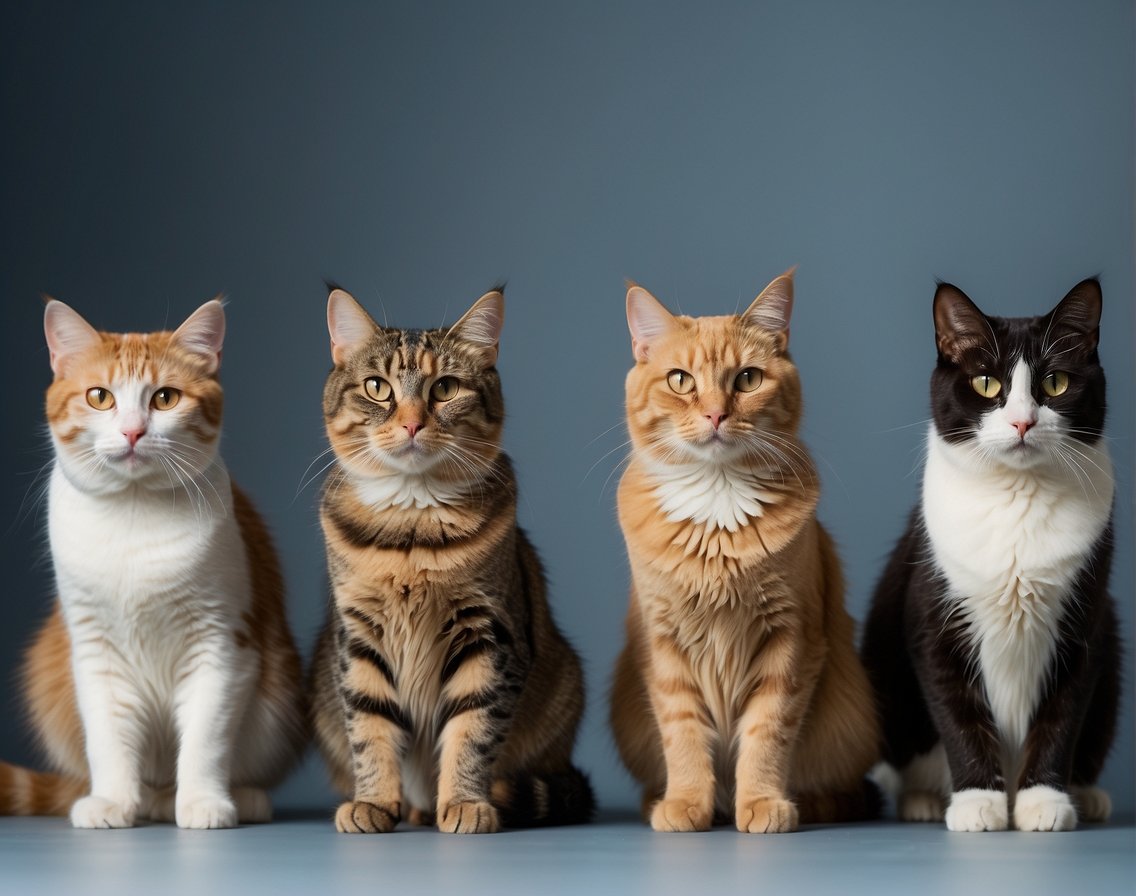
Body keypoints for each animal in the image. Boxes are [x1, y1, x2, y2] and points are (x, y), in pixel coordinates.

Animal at [311, 285, 595, 831]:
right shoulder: (358, 637)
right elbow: (369, 727)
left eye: (444, 388)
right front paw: (374, 801)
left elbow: (473, 729)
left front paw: (464, 802)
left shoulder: (488, 635)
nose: (411, 423)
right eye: (377, 387)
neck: (411, 536)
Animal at [608, 271, 881, 831]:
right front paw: (688, 803)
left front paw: (759, 803)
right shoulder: (664, 645)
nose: (716, 414)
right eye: (681, 381)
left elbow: (767, 734)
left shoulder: (790, 640)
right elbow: (683, 733)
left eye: (748, 380)